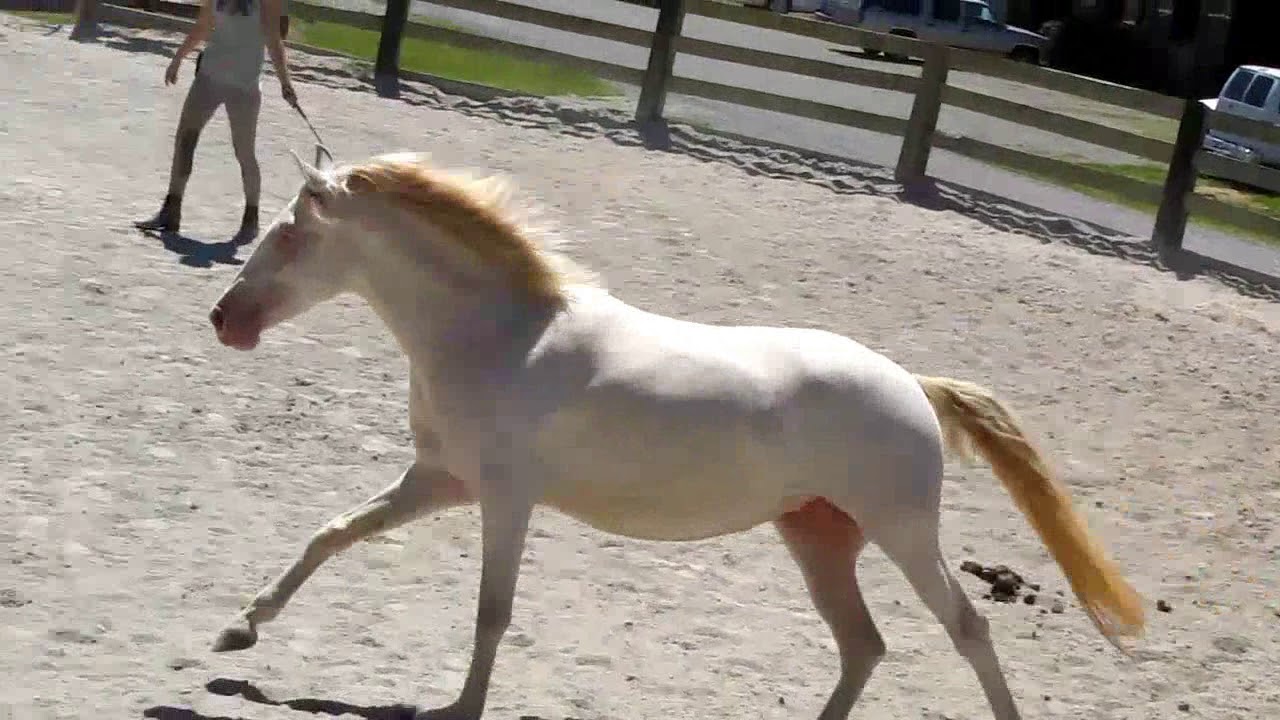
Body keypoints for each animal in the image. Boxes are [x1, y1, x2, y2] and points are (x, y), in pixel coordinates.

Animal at [205, 147, 1146, 720]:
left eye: (288, 233)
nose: (223, 319)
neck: (505, 335)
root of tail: (915, 385)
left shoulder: (505, 500)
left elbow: (492, 612)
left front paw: (458, 706)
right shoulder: (439, 481)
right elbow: (333, 534)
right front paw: (240, 631)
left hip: (902, 532)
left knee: (966, 631)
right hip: (818, 535)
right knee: (863, 644)